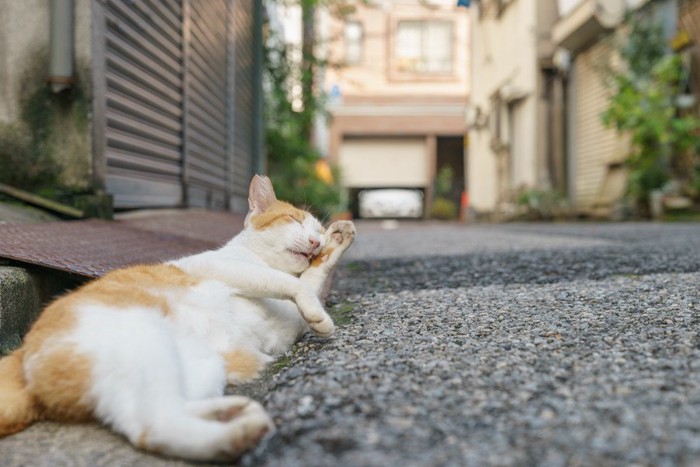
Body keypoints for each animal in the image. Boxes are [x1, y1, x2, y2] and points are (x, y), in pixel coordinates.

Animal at [0, 175, 356, 460]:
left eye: (317, 231)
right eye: (295, 220)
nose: (316, 240)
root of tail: (21, 353)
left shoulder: (288, 320)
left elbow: (311, 277)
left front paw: (337, 242)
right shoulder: (221, 266)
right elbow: (294, 283)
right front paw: (319, 310)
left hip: (201, 367)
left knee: (167, 408)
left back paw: (230, 411)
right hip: (142, 341)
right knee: (153, 424)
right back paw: (238, 433)